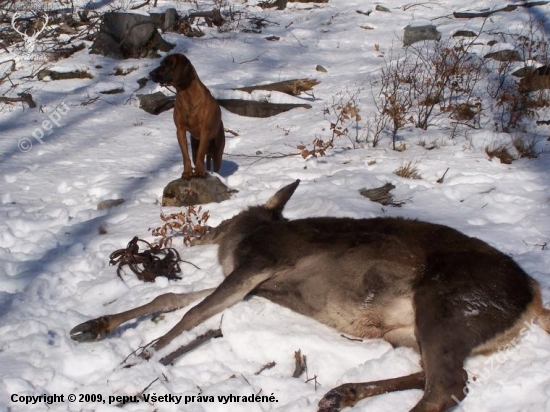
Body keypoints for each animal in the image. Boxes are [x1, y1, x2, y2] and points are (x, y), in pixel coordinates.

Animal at [72, 180, 550, 412]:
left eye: (225, 219)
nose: (200, 233)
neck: (251, 235)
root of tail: (533, 297)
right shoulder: (250, 281)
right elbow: (170, 299)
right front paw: (94, 325)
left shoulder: (259, 264)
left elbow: (194, 312)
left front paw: (146, 352)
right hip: (408, 329)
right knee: (440, 377)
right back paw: (342, 394)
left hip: (446, 303)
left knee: (446, 386)